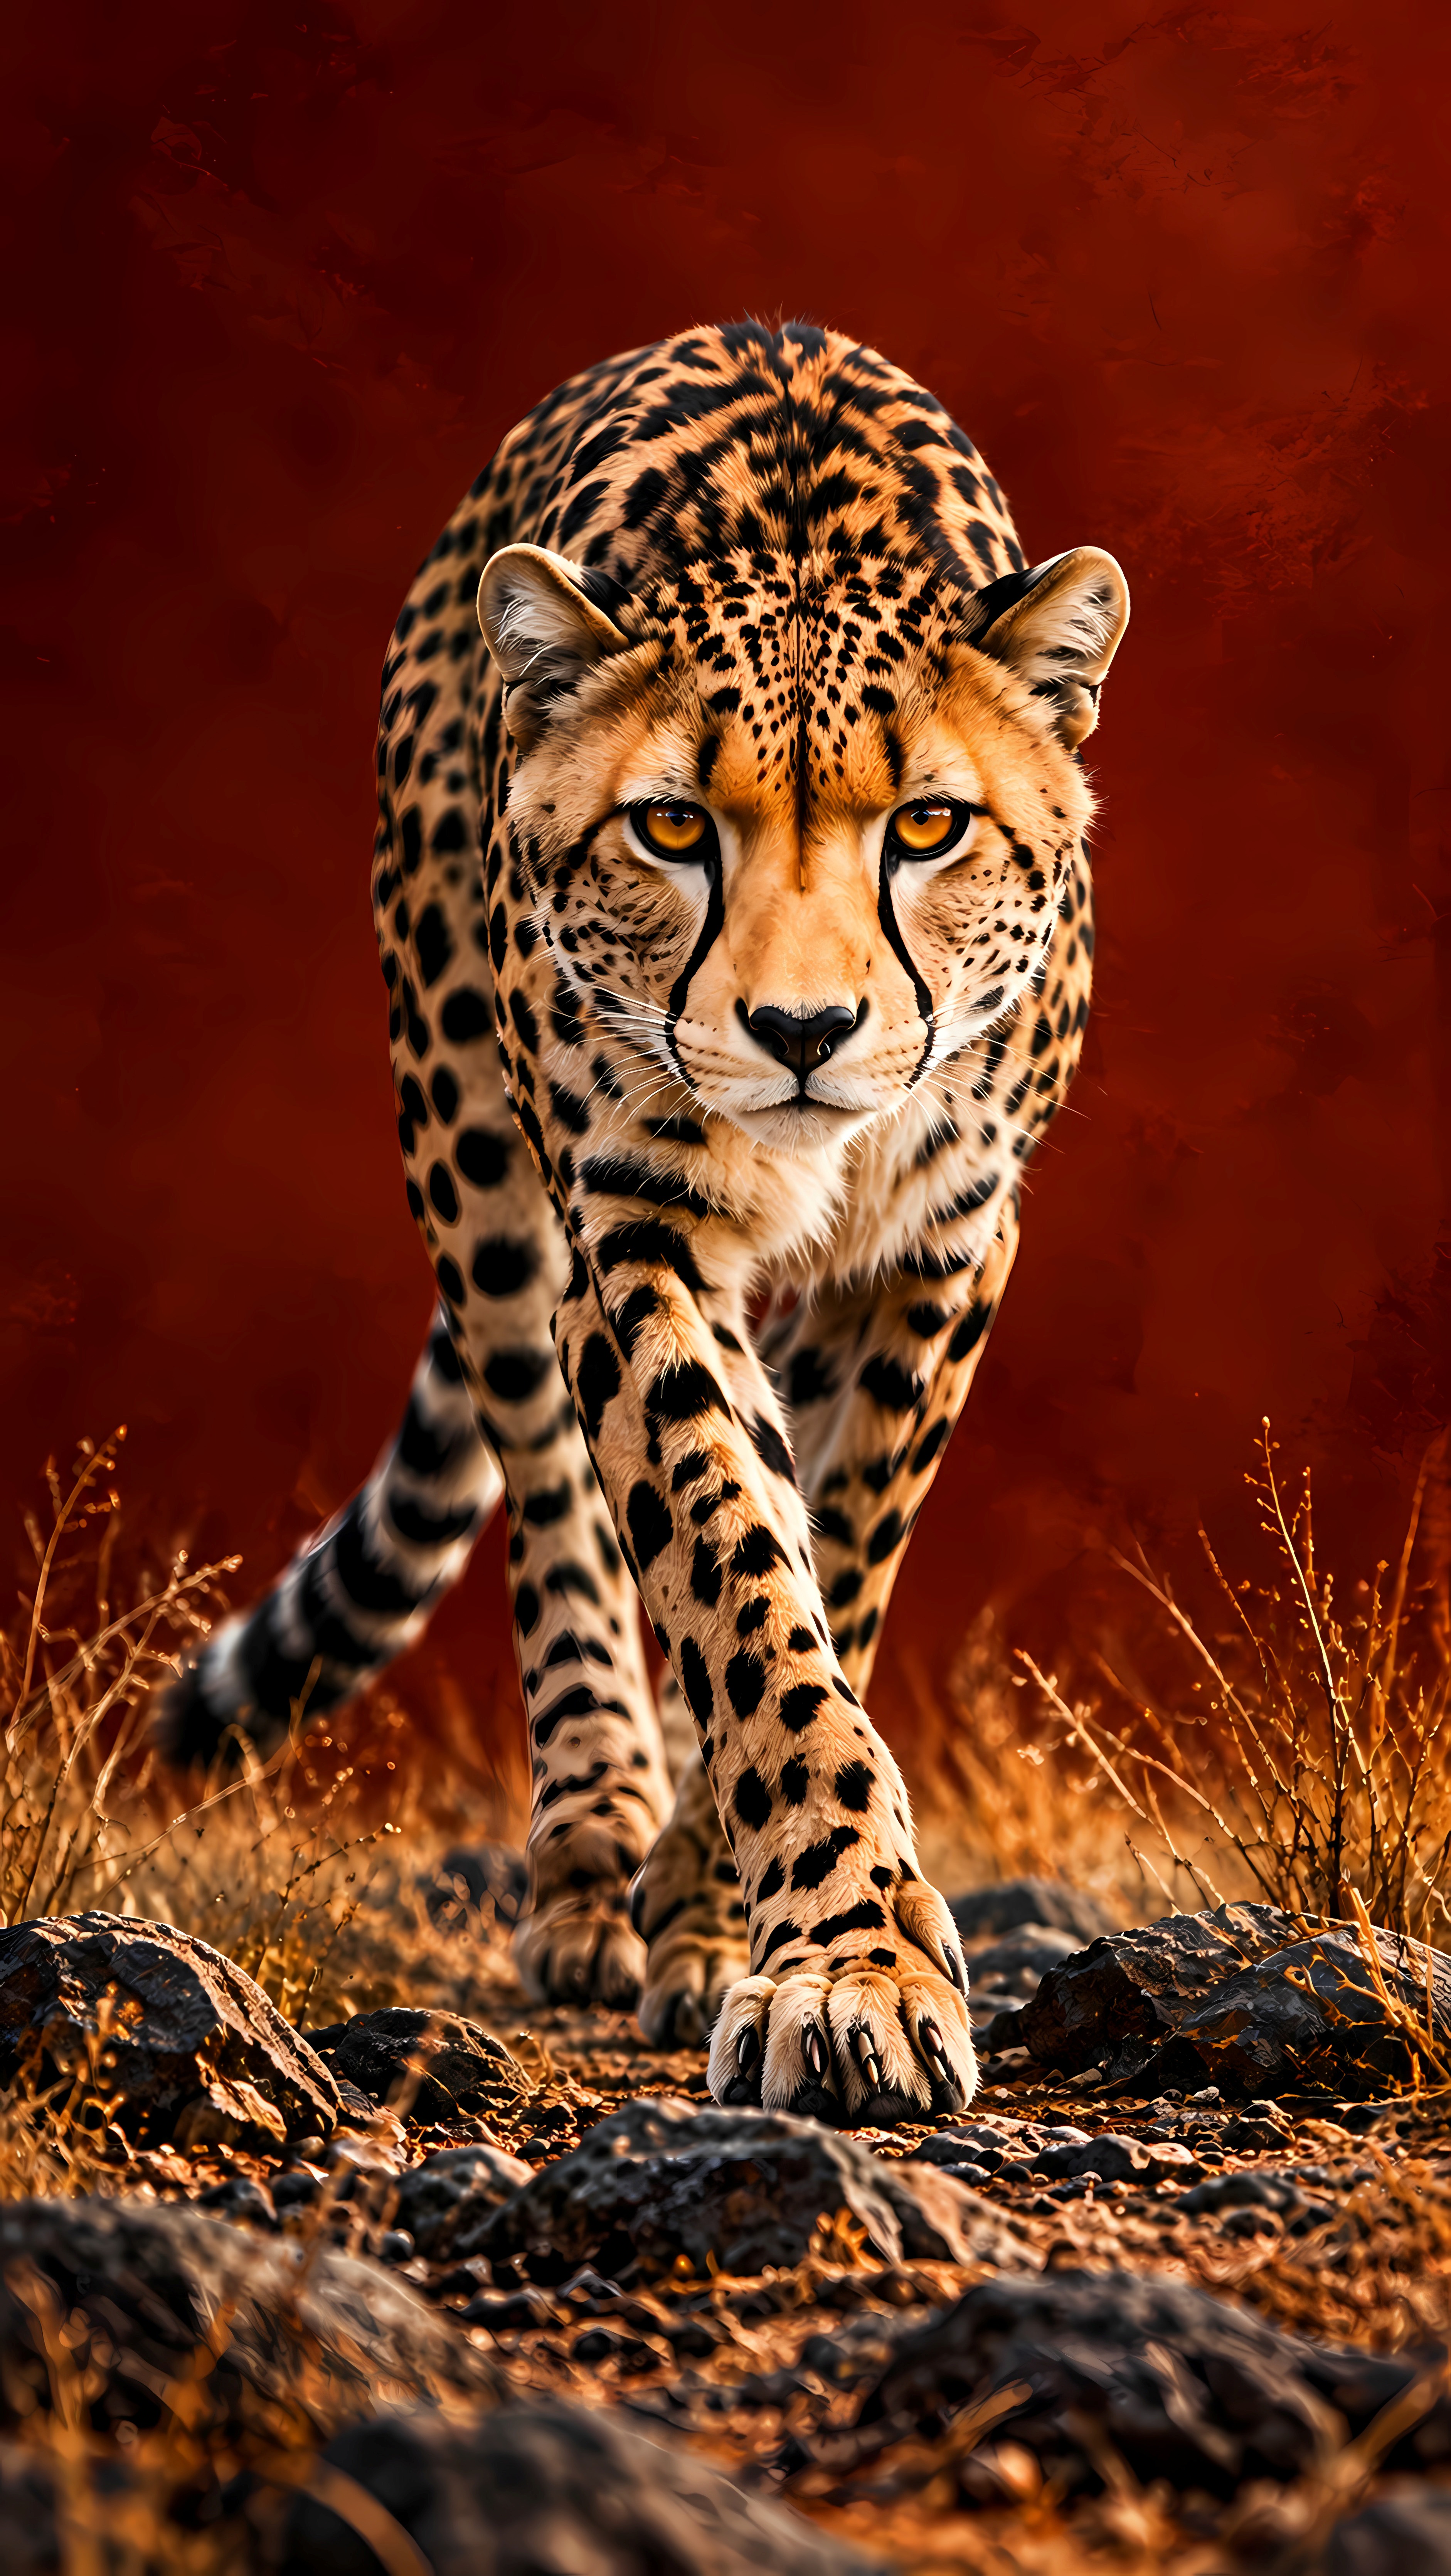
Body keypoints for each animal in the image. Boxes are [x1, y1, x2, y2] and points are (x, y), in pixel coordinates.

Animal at [161, 319, 1128, 2129]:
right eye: (673, 827)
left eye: (928, 825)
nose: (805, 1032)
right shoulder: (635, 1231)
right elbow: (729, 1564)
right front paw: (838, 1961)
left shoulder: (942, 1247)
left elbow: (836, 1556)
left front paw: (746, 1921)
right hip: (475, 1152)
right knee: (550, 1487)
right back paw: (588, 1850)